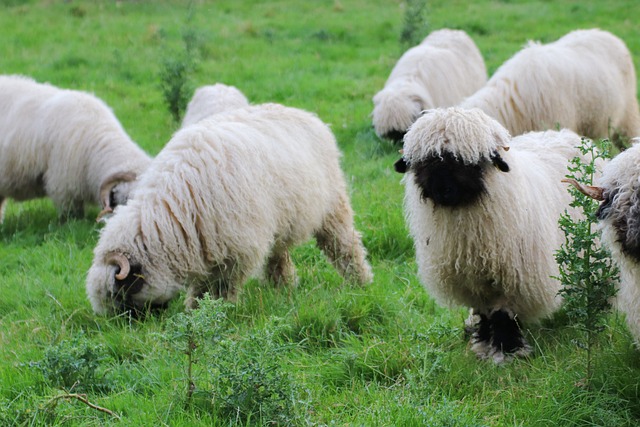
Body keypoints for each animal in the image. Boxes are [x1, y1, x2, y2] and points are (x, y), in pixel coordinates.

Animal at [85, 102, 376, 316]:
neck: (172, 215)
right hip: (279, 221)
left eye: (120, 294)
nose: (133, 328)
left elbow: (223, 286)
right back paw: (284, 288)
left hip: (333, 207)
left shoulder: (236, 250)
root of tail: (306, 114)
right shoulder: (205, 245)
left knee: (345, 246)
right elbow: (201, 286)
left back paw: (360, 282)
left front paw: (219, 312)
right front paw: (195, 311)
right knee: (278, 258)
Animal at [392, 108, 596, 364]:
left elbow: (501, 314)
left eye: (467, 162)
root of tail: (564, 133)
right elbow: (483, 313)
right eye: (424, 162)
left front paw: (506, 351)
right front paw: (482, 343)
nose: (442, 190)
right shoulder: (470, 280)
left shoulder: (512, 277)